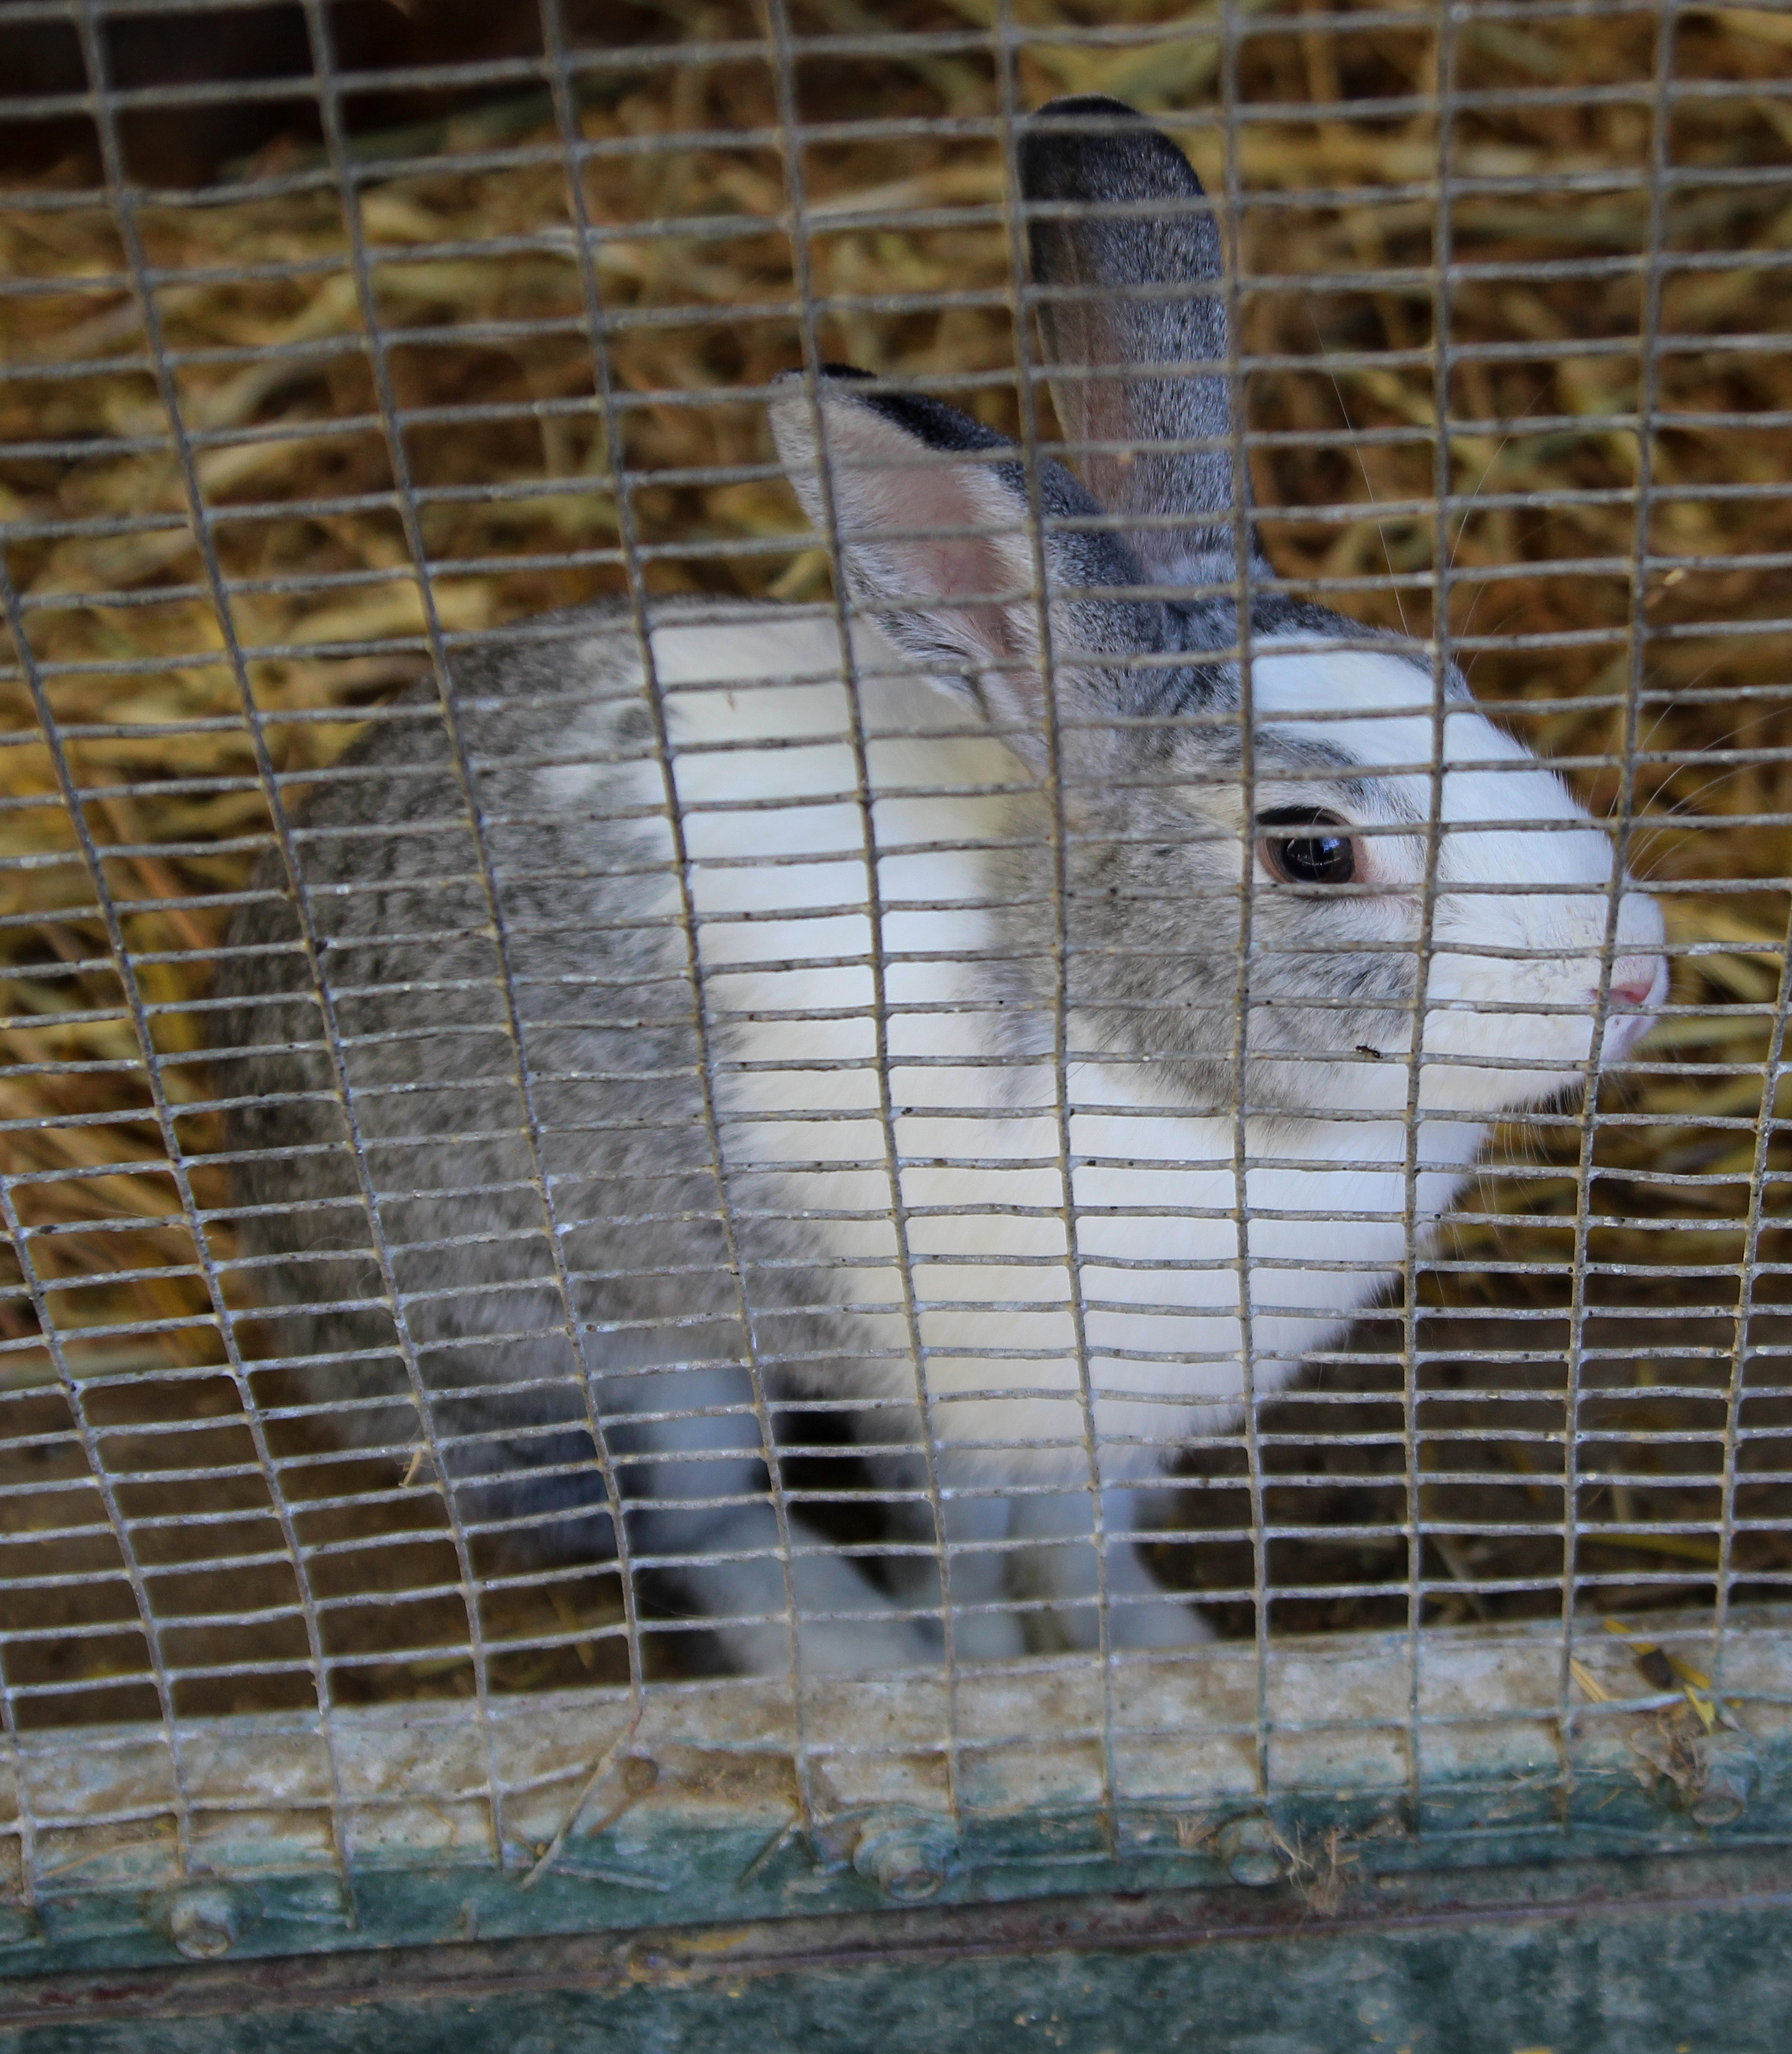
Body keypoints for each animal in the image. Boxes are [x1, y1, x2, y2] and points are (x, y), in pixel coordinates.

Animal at [209, 94, 1666, 1680]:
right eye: (1311, 849)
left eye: (1456, 690)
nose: (1637, 970)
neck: (1129, 1037)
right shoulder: (948, 1394)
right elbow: (955, 1550)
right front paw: (983, 1670)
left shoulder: (1106, 1429)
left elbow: (1082, 1543)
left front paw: (1153, 1655)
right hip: (632, 1365)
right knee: (695, 1524)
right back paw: (862, 1662)